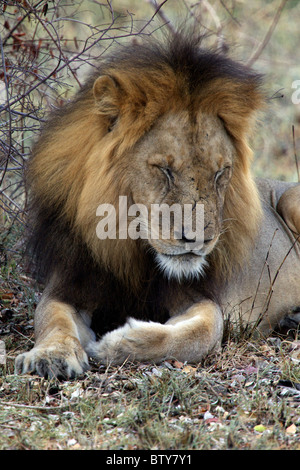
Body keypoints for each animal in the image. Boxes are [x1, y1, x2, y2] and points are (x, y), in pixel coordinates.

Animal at [14, 34, 300, 378]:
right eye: (164, 170)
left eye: (221, 173)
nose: (199, 240)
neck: (131, 249)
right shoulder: (69, 285)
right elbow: (51, 320)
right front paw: (50, 356)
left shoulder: (201, 298)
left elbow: (200, 333)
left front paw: (118, 343)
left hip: (291, 199)